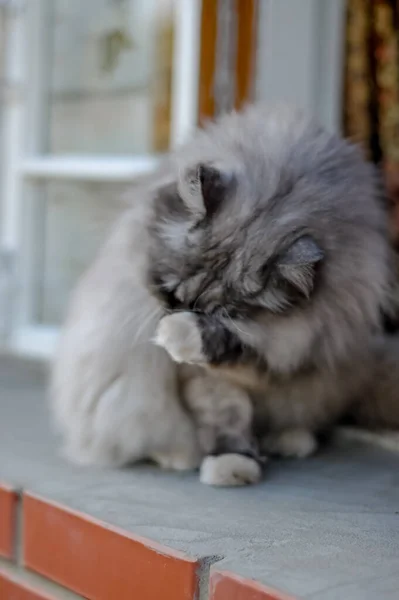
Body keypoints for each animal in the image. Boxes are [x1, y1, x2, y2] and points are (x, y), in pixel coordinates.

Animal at [51, 104, 398, 488]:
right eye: (169, 292)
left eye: (217, 312)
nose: (172, 317)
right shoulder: (204, 380)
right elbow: (227, 416)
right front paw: (232, 465)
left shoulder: (284, 351)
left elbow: (233, 351)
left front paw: (185, 335)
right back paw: (178, 457)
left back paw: (290, 441)